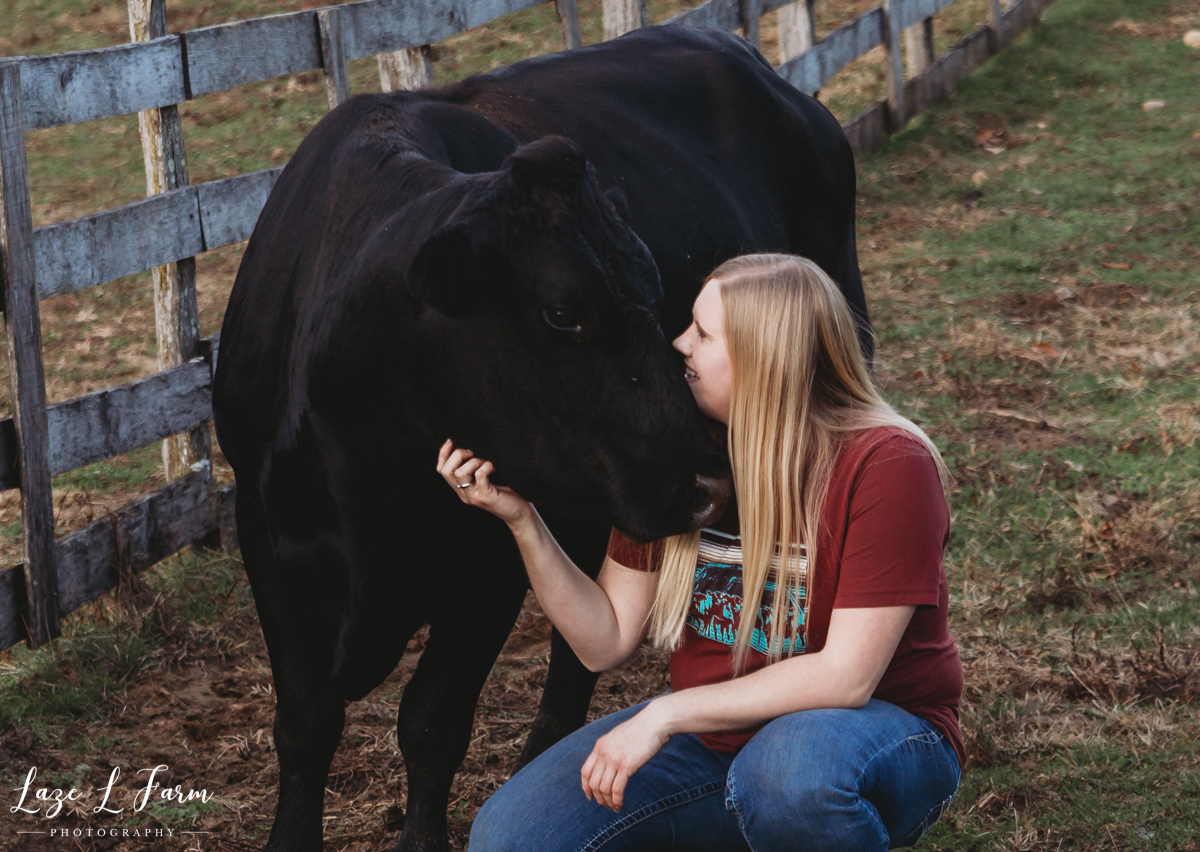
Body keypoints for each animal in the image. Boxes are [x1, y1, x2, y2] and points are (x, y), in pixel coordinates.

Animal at [213, 23, 864, 852]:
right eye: (562, 312)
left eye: (655, 293)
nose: (708, 480)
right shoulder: (269, 539)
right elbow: (305, 724)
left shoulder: (488, 563)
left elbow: (431, 722)